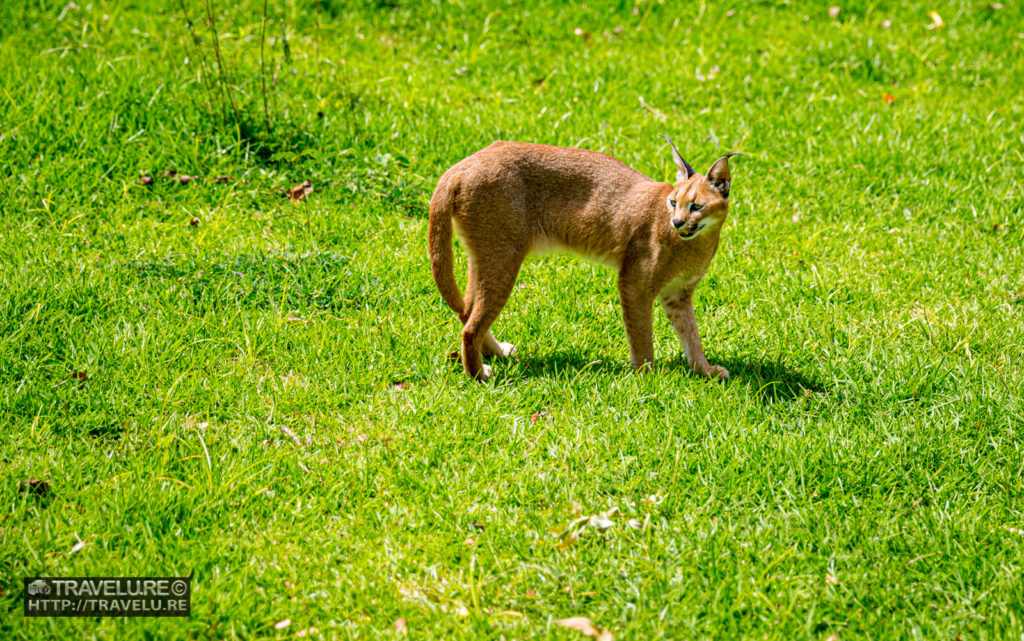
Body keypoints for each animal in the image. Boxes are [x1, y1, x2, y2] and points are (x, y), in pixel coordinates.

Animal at [428, 136, 741, 378]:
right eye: (673, 202)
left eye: (696, 206)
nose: (676, 222)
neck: (697, 243)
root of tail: (462, 165)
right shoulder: (635, 283)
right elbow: (642, 334)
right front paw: (648, 375)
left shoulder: (678, 294)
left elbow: (691, 334)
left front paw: (704, 371)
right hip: (503, 257)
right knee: (471, 326)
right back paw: (479, 376)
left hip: (487, 255)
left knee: (467, 310)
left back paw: (495, 354)